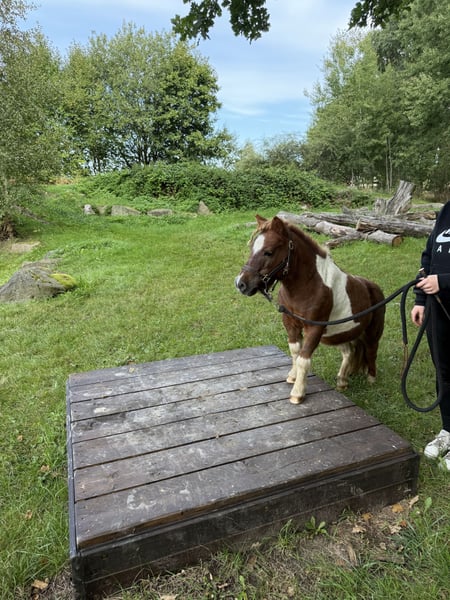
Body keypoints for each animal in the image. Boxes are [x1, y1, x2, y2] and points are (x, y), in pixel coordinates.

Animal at [235, 215, 385, 404]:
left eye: (268, 252)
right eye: (252, 248)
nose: (241, 284)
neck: (309, 285)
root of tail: (375, 288)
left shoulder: (314, 328)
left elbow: (303, 359)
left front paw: (298, 393)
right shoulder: (290, 323)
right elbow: (295, 352)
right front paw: (292, 377)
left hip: (372, 333)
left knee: (372, 352)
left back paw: (371, 379)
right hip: (341, 333)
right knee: (349, 352)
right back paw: (342, 381)